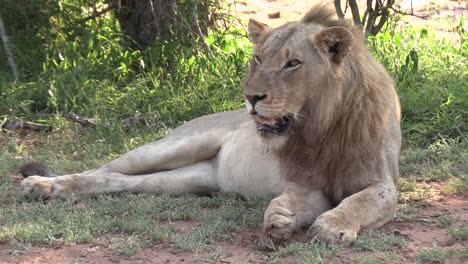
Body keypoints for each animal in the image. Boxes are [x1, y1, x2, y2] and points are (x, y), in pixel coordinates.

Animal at [18, 5, 400, 246]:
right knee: (103, 169)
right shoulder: (303, 182)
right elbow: (304, 198)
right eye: (258, 58)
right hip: (175, 145)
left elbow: (360, 202)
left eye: (293, 63)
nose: (251, 97)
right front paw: (284, 217)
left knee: (120, 181)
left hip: (184, 181)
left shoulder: (381, 181)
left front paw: (323, 224)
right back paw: (42, 185)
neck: (319, 127)